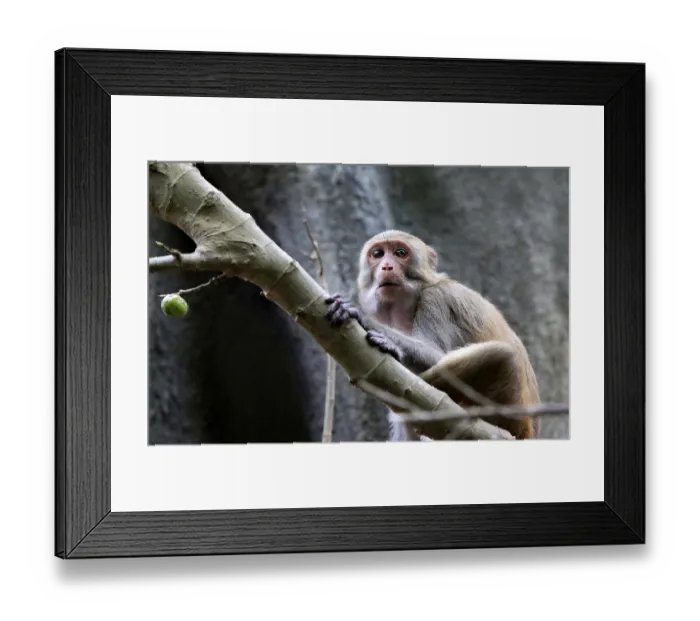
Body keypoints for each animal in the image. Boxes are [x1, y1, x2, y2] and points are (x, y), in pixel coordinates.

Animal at [324, 229, 541, 441]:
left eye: (400, 253)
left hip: (513, 415)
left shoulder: (436, 299)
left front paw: (363, 318)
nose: (386, 266)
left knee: (502, 355)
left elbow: (435, 354)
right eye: (378, 254)